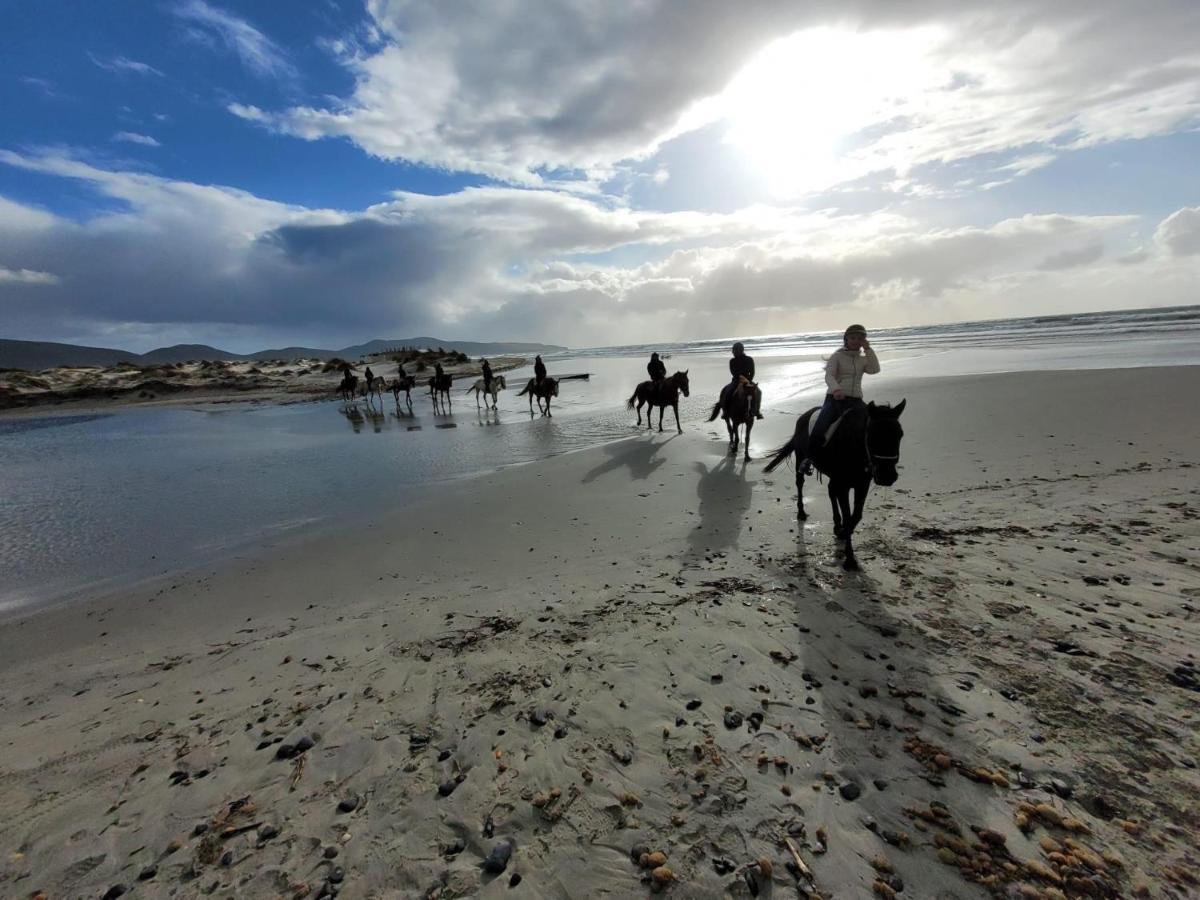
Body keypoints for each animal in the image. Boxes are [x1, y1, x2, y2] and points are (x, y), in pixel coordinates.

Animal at [763, 400, 902, 571]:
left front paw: (843, 534)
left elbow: (856, 516)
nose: (887, 476)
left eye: (900, 434)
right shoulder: (844, 485)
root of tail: (803, 416)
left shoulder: (862, 484)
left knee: (830, 491)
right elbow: (848, 517)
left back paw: (836, 524)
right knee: (800, 484)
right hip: (801, 457)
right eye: (872, 435)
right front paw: (850, 559)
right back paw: (801, 512)